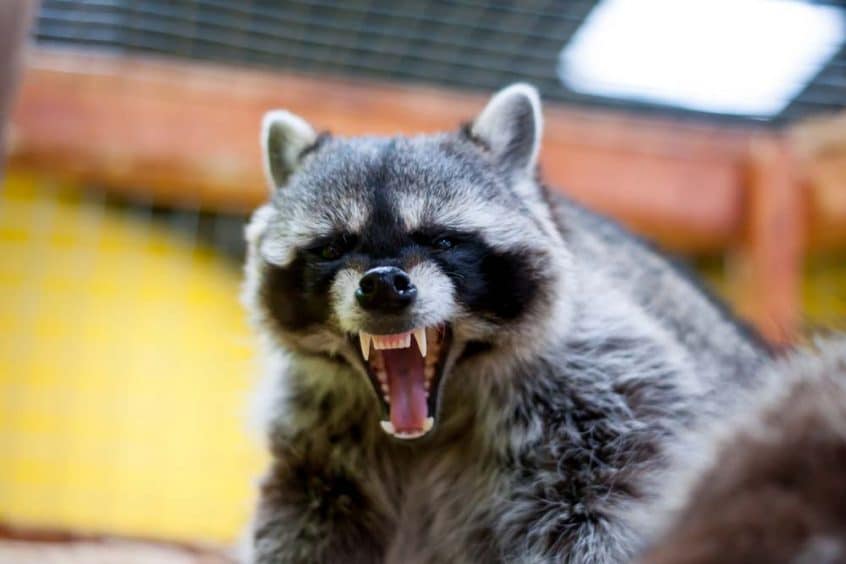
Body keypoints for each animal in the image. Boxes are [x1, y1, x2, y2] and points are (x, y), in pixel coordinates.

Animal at [242, 84, 770, 563]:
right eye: (332, 249)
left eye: (442, 241)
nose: (385, 285)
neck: (433, 420)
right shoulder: (317, 438)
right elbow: (302, 520)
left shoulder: (606, 394)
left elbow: (598, 515)